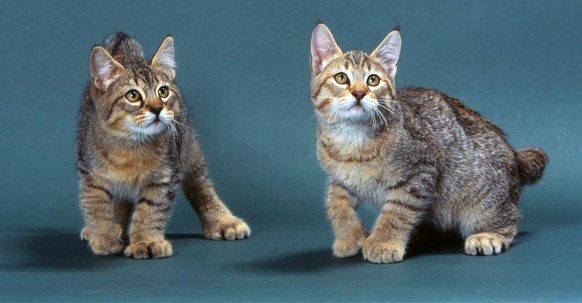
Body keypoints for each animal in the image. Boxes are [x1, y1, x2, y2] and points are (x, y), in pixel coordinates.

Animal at [77, 33, 251, 262]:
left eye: (163, 91)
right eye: (133, 95)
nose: (158, 108)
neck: (132, 146)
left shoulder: (165, 175)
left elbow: (151, 209)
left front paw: (145, 240)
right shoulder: (89, 172)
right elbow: (95, 205)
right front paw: (104, 235)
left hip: (189, 149)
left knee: (201, 185)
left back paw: (222, 220)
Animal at [312, 23, 548, 264]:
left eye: (373, 80)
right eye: (341, 78)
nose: (359, 93)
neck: (353, 139)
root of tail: (514, 156)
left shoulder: (421, 172)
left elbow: (397, 211)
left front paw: (384, 242)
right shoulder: (340, 179)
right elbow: (336, 203)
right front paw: (350, 237)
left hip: (482, 197)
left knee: (509, 216)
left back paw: (488, 235)